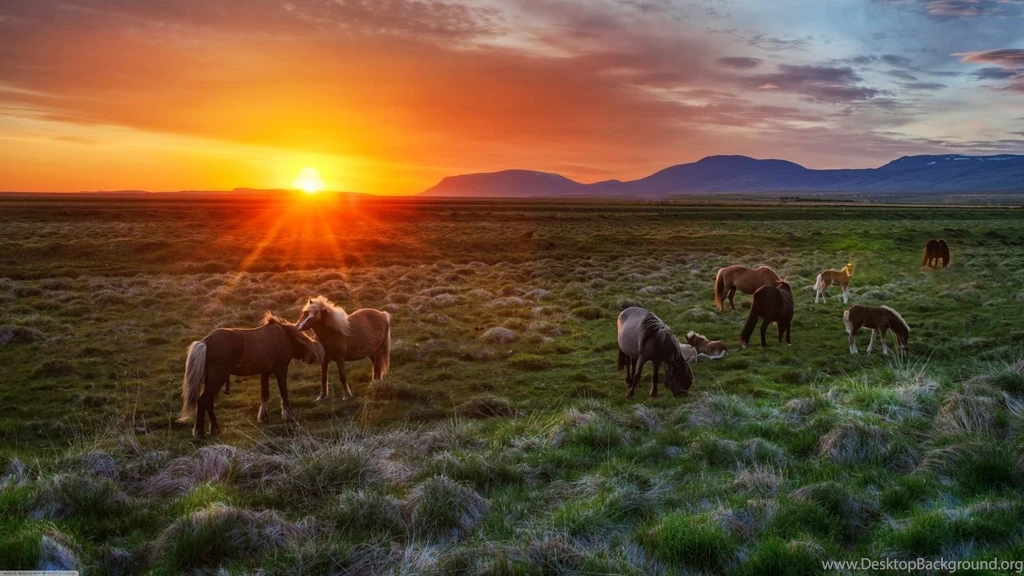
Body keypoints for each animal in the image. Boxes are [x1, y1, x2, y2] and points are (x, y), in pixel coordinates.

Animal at [179, 313, 325, 438]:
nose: (314, 357)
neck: (286, 337)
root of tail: (205, 342)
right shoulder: (281, 370)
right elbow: (284, 393)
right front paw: (288, 416)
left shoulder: (265, 372)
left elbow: (265, 395)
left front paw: (263, 417)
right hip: (217, 378)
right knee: (203, 401)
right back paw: (199, 432)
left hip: (211, 379)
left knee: (208, 402)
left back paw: (215, 429)